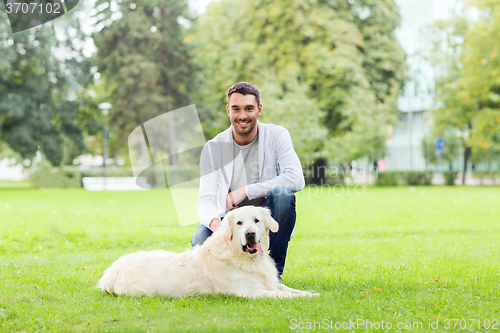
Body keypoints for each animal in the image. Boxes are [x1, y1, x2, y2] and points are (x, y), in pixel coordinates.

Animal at [98, 206, 316, 296]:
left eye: (256, 220)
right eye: (239, 223)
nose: (250, 234)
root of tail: (110, 271)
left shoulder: (270, 284)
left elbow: (286, 289)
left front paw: (312, 293)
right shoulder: (251, 292)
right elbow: (285, 296)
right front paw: (307, 297)